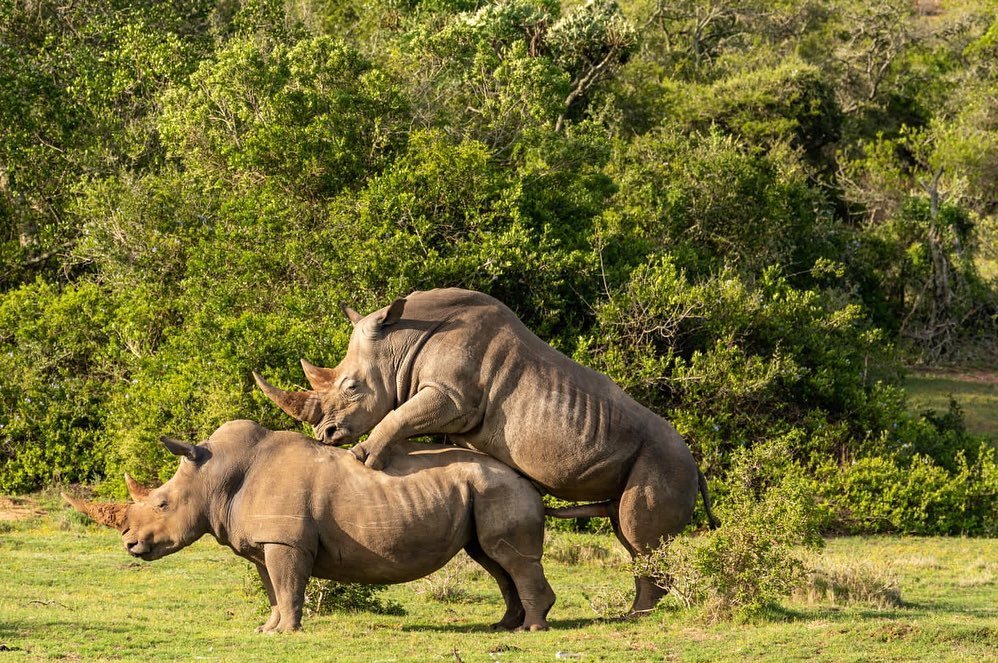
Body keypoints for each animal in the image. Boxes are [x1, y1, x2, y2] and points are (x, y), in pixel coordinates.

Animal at [64, 420, 556, 632]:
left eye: (162, 504)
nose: (130, 544)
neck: (214, 476)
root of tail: (527, 479)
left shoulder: (285, 540)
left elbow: (288, 585)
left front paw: (286, 633)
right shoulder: (265, 543)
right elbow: (274, 588)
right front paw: (268, 630)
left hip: (500, 489)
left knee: (510, 558)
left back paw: (530, 630)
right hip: (488, 490)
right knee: (493, 560)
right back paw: (503, 626)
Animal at [254, 288, 716, 620]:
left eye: (351, 387)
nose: (325, 433)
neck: (402, 341)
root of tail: (696, 465)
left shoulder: (451, 394)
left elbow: (401, 415)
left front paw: (364, 459)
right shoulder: (450, 400)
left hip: (666, 462)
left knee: (640, 536)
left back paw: (632, 619)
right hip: (659, 462)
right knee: (629, 534)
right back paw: (631, 614)